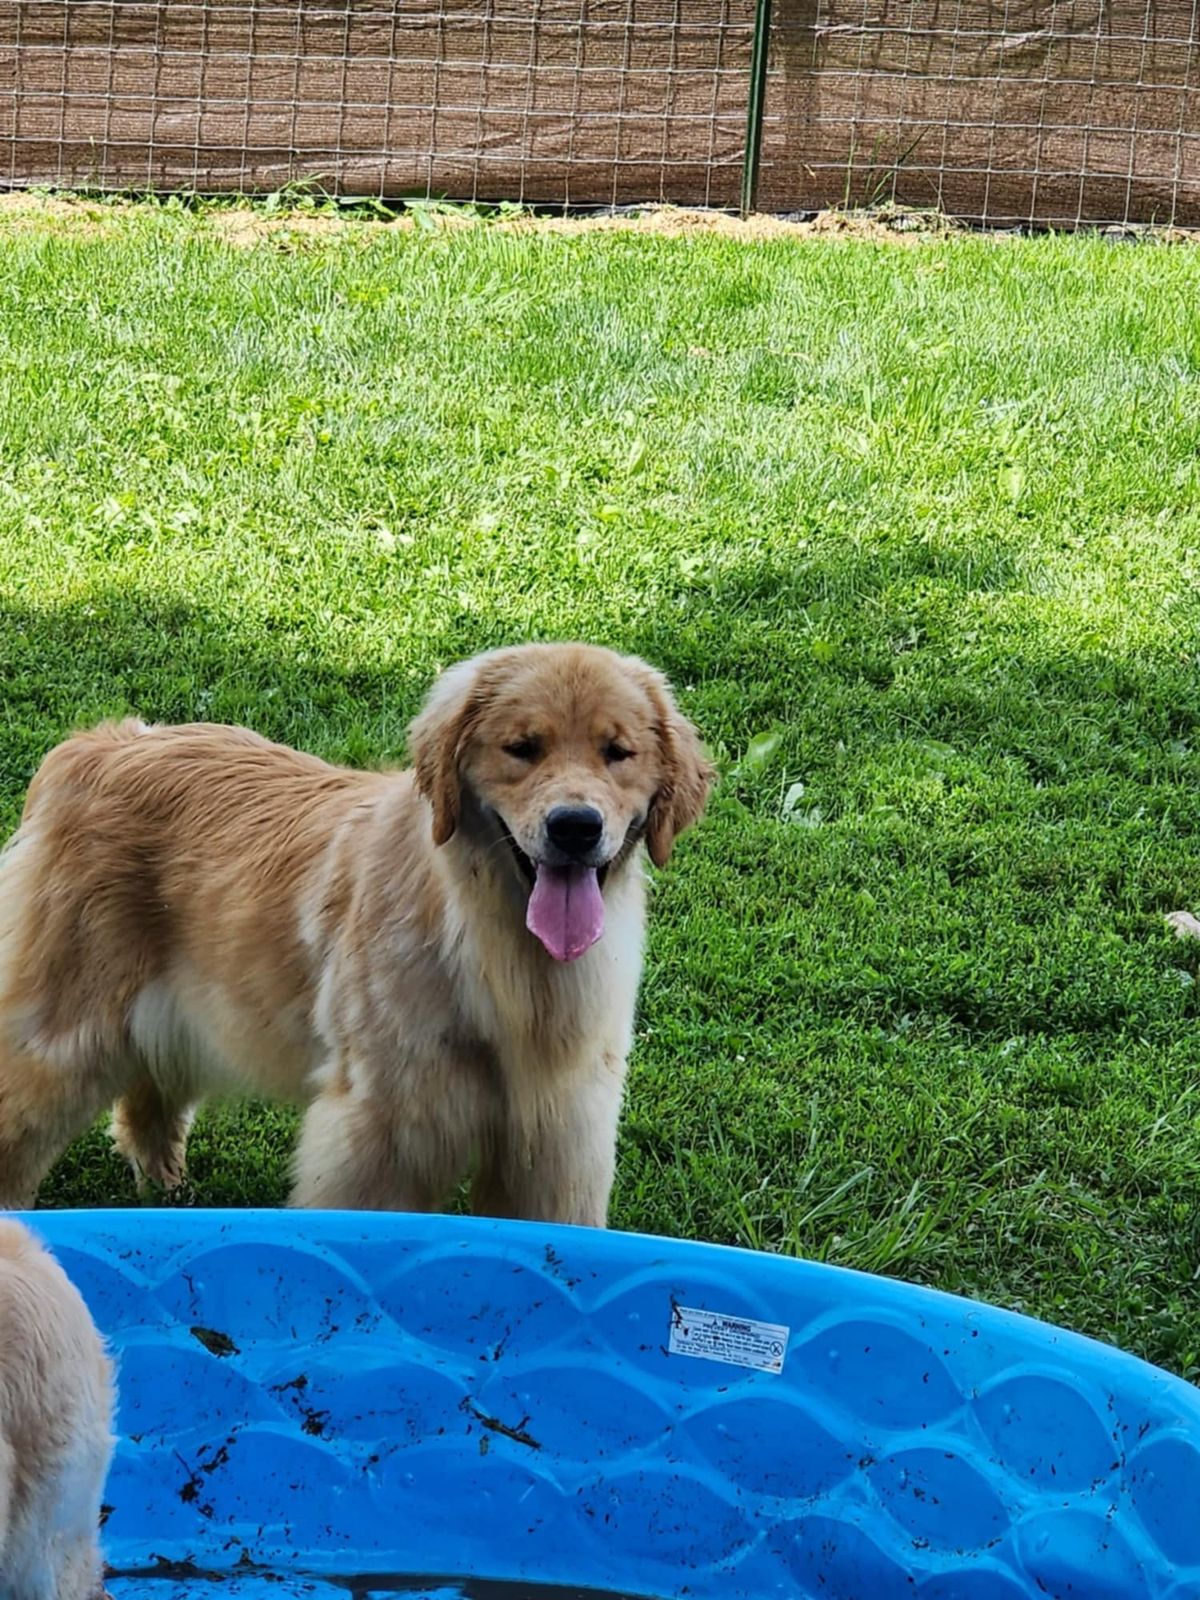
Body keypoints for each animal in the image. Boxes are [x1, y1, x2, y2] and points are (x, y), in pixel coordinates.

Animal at [0, 643, 713, 1223]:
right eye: (523, 749)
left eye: (617, 753)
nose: (575, 827)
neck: (490, 942)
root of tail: (100, 744)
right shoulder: (389, 1127)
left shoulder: (555, 1138)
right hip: (67, 1031)